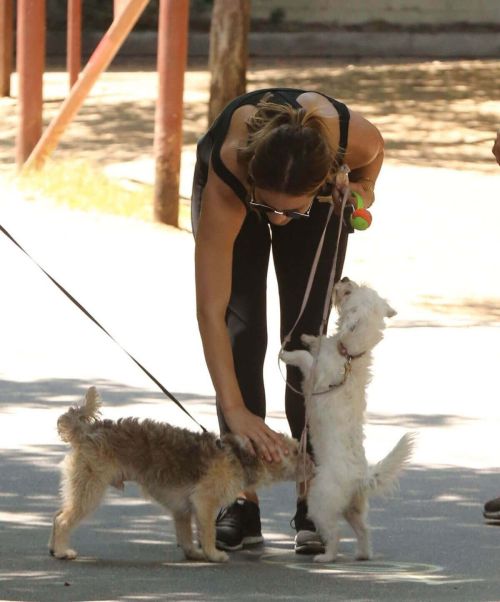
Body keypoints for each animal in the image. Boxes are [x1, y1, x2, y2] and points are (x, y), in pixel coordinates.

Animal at [49, 386, 300, 560]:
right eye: (296, 451)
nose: (309, 457)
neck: (238, 456)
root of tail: (87, 430)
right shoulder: (204, 503)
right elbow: (208, 532)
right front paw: (213, 554)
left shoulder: (183, 508)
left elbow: (186, 534)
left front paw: (194, 554)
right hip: (89, 491)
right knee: (62, 520)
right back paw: (62, 551)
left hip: (79, 489)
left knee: (58, 515)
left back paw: (54, 547)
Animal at [282, 276, 414, 564]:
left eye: (350, 291)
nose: (343, 278)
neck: (349, 355)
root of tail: (360, 479)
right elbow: (317, 344)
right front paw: (310, 337)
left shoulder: (315, 374)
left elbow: (304, 358)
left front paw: (288, 353)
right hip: (352, 508)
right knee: (363, 530)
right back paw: (363, 554)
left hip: (320, 500)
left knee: (334, 535)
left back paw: (326, 557)